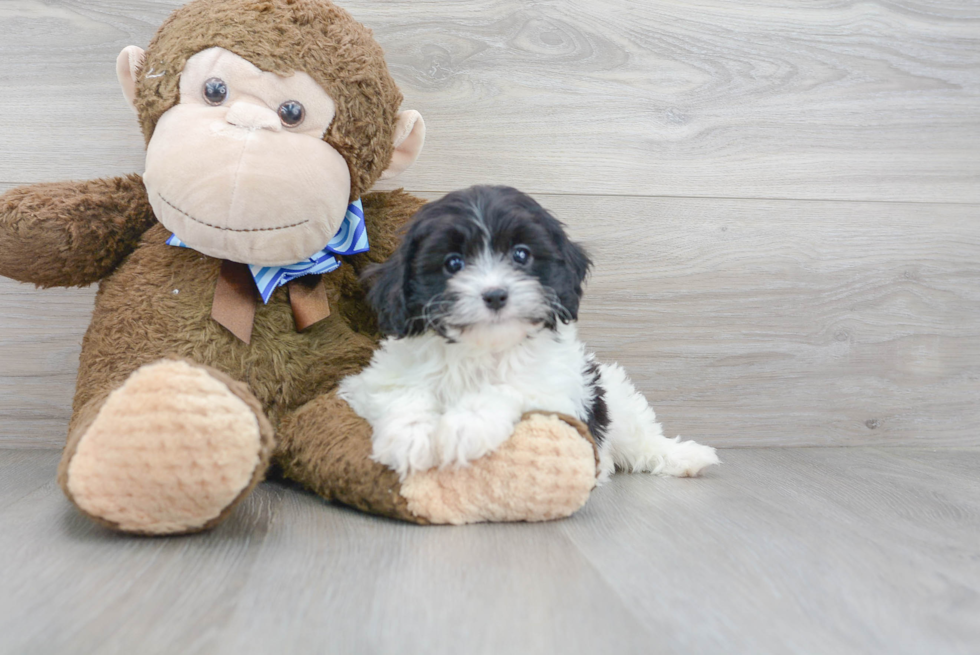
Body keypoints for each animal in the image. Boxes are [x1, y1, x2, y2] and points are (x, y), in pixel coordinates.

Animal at [338, 184, 720, 482]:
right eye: (453, 263)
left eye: (521, 255)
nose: (495, 294)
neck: (480, 350)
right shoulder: (372, 381)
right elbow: (403, 393)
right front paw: (411, 436)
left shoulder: (556, 391)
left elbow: (510, 388)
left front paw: (465, 425)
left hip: (613, 397)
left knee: (641, 437)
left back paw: (687, 457)